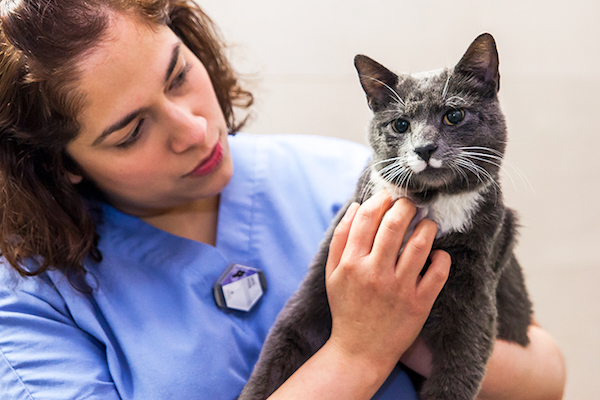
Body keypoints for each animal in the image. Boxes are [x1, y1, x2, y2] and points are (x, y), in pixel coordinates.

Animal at [238, 33, 528, 400]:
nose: (424, 148)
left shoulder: (476, 297)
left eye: (454, 114)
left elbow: (459, 371)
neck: (427, 204)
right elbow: (283, 340)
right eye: (400, 124)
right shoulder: (319, 279)